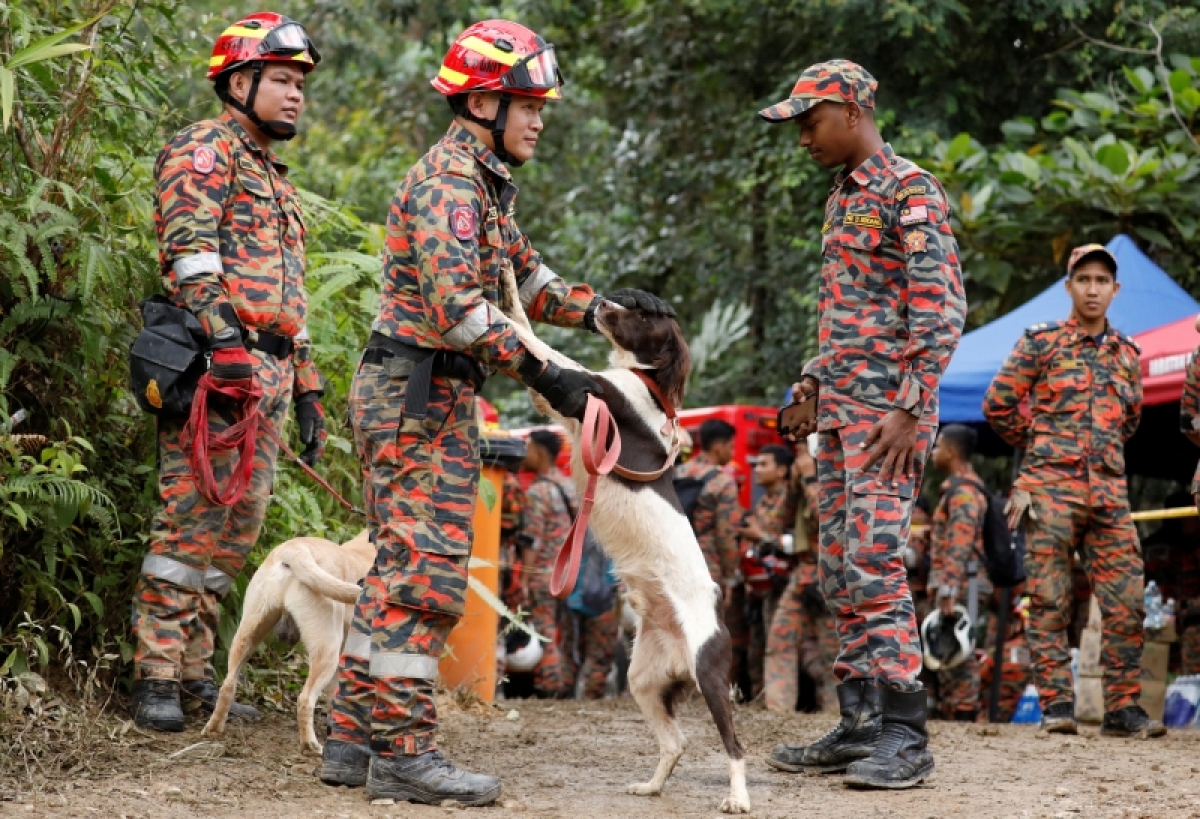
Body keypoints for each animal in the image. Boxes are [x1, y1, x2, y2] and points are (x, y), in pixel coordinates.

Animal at [200, 528, 374, 754]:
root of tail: (294, 549)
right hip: (327, 648)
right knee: (305, 699)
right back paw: (310, 745)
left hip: (248, 633)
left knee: (228, 685)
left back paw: (213, 728)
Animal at [499, 272, 748, 811]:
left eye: (641, 315)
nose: (598, 305)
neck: (652, 386)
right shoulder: (565, 408)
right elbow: (525, 327)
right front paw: (505, 282)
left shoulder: (590, 387)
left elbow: (531, 339)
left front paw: (497, 289)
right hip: (642, 680)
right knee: (677, 742)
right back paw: (652, 786)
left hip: (710, 675)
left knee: (734, 746)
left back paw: (739, 798)